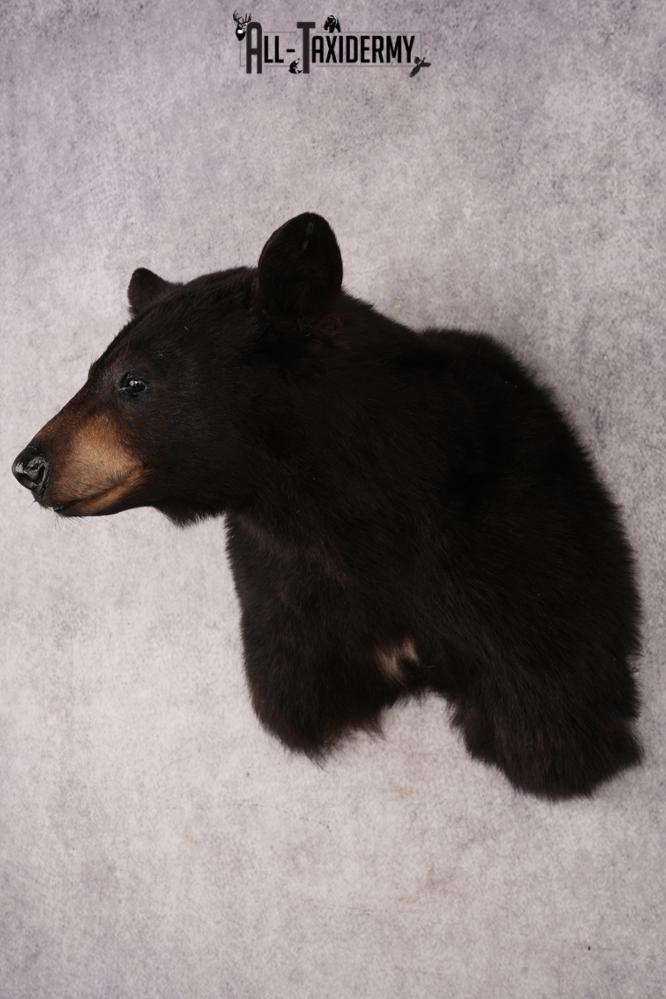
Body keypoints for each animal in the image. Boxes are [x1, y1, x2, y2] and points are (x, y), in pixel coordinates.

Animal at [12, 212, 643, 799]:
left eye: (134, 382)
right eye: (92, 372)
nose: (27, 466)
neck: (339, 517)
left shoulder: (514, 563)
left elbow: (550, 694)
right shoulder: (285, 603)